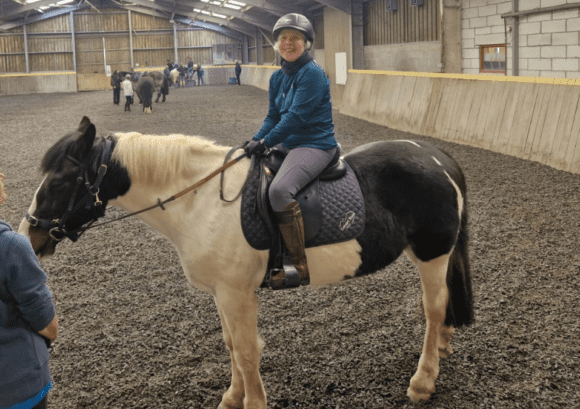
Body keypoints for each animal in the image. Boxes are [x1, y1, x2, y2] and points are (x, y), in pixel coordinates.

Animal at [20, 116, 476, 406]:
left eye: (60, 181)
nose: (29, 236)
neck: (199, 200)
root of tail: (438, 157)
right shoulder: (222, 293)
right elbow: (230, 346)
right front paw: (232, 396)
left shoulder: (237, 293)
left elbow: (245, 350)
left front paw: (251, 401)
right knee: (442, 306)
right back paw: (443, 348)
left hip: (432, 254)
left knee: (433, 308)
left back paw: (423, 380)